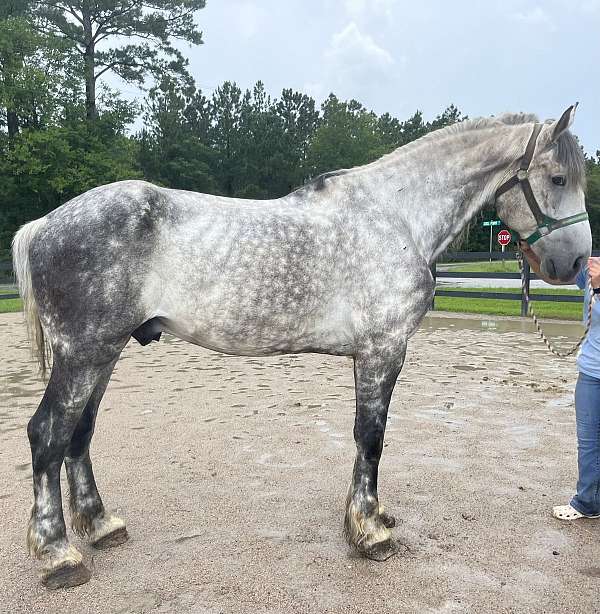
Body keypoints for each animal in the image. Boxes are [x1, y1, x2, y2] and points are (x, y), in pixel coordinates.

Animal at [12, 107, 592, 592]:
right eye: (558, 178)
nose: (574, 265)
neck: (397, 216)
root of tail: (44, 224)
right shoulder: (383, 350)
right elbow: (371, 438)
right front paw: (369, 532)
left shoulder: (370, 355)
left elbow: (367, 439)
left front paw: (373, 517)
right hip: (84, 353)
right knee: (48, 434)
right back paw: (59, 554)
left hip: (103, 353)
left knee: (79, 433)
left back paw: (100, 526)